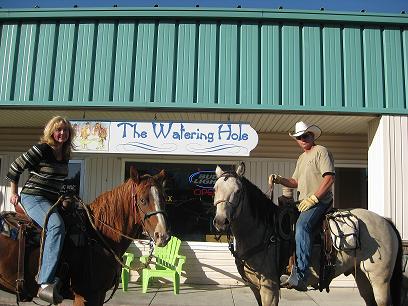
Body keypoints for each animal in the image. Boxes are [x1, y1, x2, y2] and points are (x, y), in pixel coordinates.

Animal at [0, 166, 171, 304]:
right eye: (142, 200)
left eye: (164, 198)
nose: (163, 236)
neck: (98, 234)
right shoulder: (87, 295)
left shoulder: (98, 295)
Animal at [212, 164, 404, 306]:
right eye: (214, 189)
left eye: (238, 191)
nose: (221, 221)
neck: (263, 232)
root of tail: (385, 221)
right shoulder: (255, 288)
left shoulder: (270, 288)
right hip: (362, 276)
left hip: (380, 281)